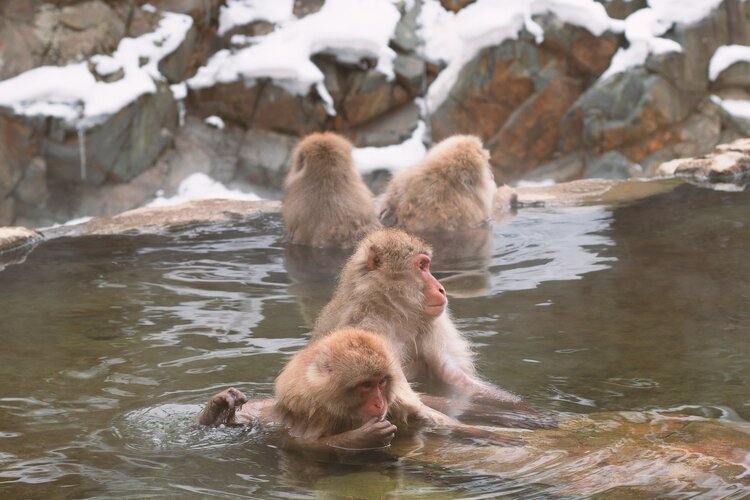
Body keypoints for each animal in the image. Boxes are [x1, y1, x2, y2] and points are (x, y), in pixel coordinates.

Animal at [194, 328, 522, 448]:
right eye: (365, 385)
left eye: (381, 382)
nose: (379, 403)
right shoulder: (312, 410)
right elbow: (303, 444)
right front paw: (362, 438)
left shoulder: (398, 399)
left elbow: (432, 420)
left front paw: (487, 434)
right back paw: (217, 411)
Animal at [311, 229, 555, 429]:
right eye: (422, 267)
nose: (441, 288)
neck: (388, 310)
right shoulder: (367, 331)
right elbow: (401, 396)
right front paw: (499, 415)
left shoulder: (429, 326)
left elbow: (456, 379)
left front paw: (523, 408)